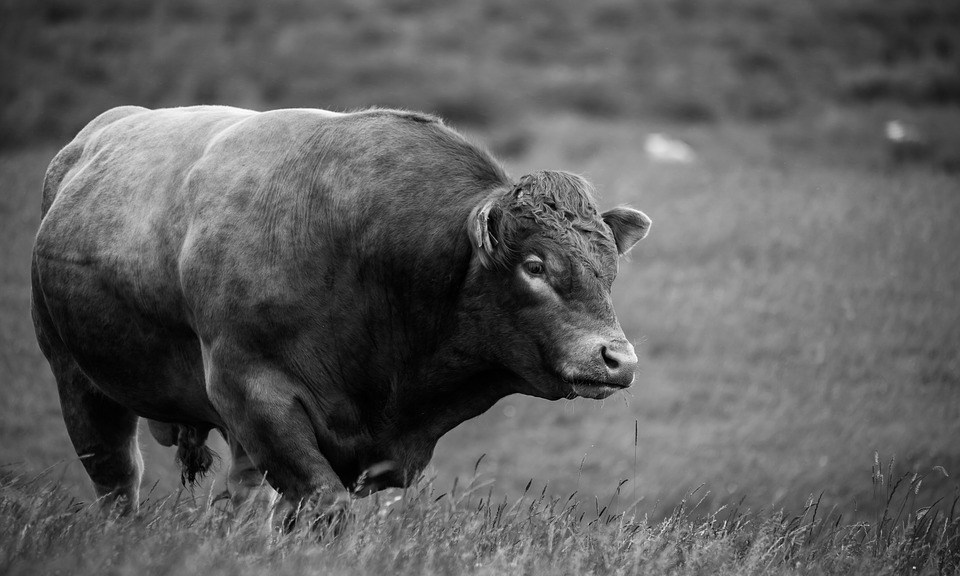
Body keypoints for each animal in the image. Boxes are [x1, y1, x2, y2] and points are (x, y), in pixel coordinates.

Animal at [30, 106, 651, 519]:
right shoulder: (255, 396)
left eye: (609, 269)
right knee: (117, 480)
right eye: (535, 265)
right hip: (77, 380)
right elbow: (325, 507)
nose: (617, 359)